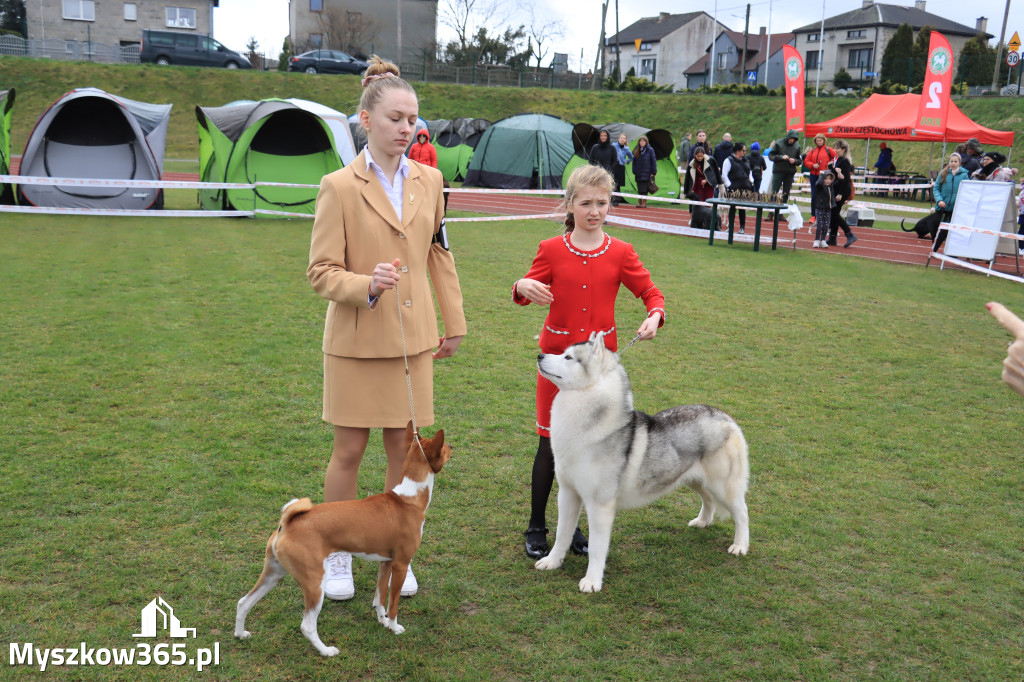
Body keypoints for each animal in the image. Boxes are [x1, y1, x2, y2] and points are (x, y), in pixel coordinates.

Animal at [237, 425, 454, 655]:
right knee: (307, 625)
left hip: (274, 573)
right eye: (443, 448)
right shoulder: (400, 565)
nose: (452, 445)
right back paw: (326, 651)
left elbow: (379, 598)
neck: (408, 498)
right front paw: (394, 627)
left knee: (243, 602)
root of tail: (286, 524)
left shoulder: (385, 563)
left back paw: (240, 634)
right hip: (314, 582)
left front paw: (382, 621)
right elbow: (393, 604)